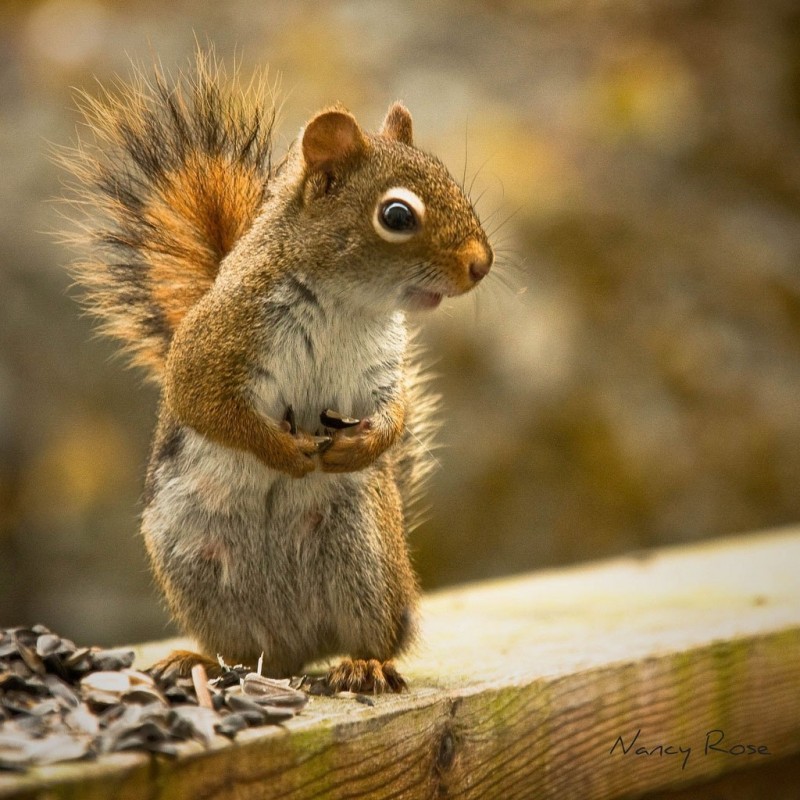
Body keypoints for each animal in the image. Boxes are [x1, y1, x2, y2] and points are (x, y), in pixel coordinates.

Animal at [56, 53, 490, 692]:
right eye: (396, 215)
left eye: (452, 180)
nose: (482, 265)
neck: (345, 302)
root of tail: (298, 647)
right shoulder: (214, 347)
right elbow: (204, 404)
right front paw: (282, 452)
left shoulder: (382, 368)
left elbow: (396, 413)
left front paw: (362, 446)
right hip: (197, 564)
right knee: (245, 650)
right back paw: (203, 662)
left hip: (366, 557)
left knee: (377, 636)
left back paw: (362, 664)